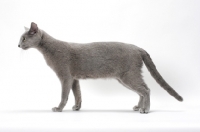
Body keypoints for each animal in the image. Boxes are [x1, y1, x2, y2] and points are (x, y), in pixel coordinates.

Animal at [18, 22, 183, 113]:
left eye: (24, 38)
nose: (18, 45)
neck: (48, 49)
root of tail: (138, 48)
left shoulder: (65, 76)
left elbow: (64, 95)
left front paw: (58, 108)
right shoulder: (74, 79)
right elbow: (77, 94)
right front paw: (76, 107)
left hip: (128, 76)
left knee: (146, 89)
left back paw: (145, 109)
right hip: (124, 78)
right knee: (141, 91)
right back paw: (138, 106)